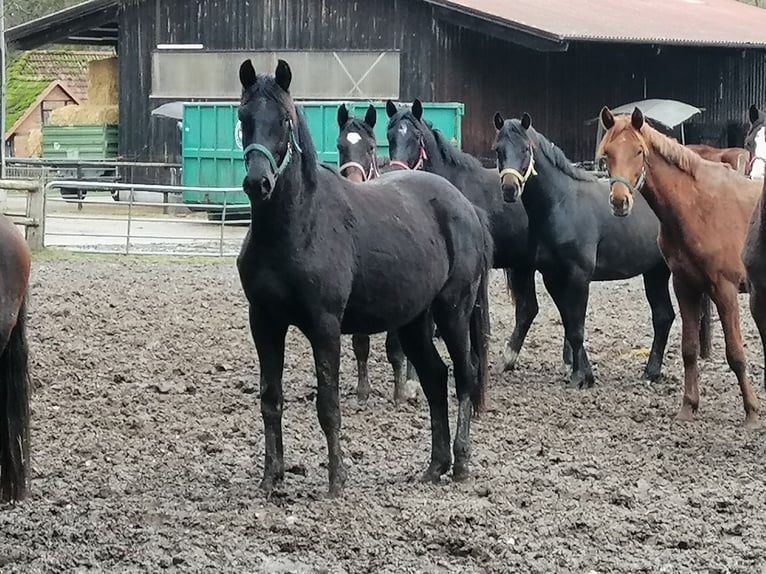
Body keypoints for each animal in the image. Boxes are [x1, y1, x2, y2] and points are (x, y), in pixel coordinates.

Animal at [338, 102, 420, 404]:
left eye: (371, 147)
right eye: (340, 146)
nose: (353, 182)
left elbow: (395, 348)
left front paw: (399, 392)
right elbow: (360, 343)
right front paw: (363, 391)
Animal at [492, 113, 680, 388]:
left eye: (526, 149)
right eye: (498, 150)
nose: (508, 189)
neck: (562, 203)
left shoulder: (579, 276)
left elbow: (577, 327)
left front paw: (581, 377)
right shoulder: (553, 277)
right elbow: (570, 325)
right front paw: (582, 373)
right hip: (655, 272)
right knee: (663, 316)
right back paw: (651, 371)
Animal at [604, 106, 764, 430]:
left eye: (639, 151)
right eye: (607, 153)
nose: (619, 202)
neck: (697, 205)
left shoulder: (725, 290)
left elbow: (736, 354)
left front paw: (752, 413)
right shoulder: (685, 286)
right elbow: (689, 349)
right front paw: (688, 407)